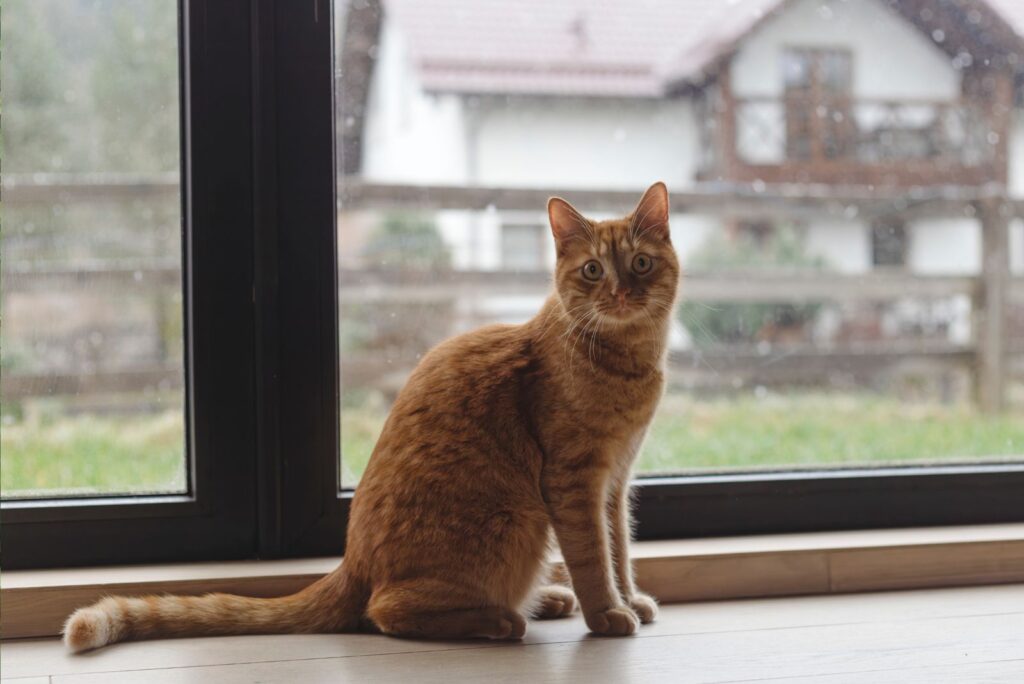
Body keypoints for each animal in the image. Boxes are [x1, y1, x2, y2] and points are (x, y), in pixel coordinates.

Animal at [68, 181, 684, 651]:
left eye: (640, 264)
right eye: (592, 271)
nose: (621, 293)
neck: (628, 362)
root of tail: (351, 564)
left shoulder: (615, 482)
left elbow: (618, 549)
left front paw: (629, 599)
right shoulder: (574, 482)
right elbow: (592, 556)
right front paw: (607, 613)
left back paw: (548, 598)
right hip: (517, 522)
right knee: (384, 612)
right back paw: (501, 619)